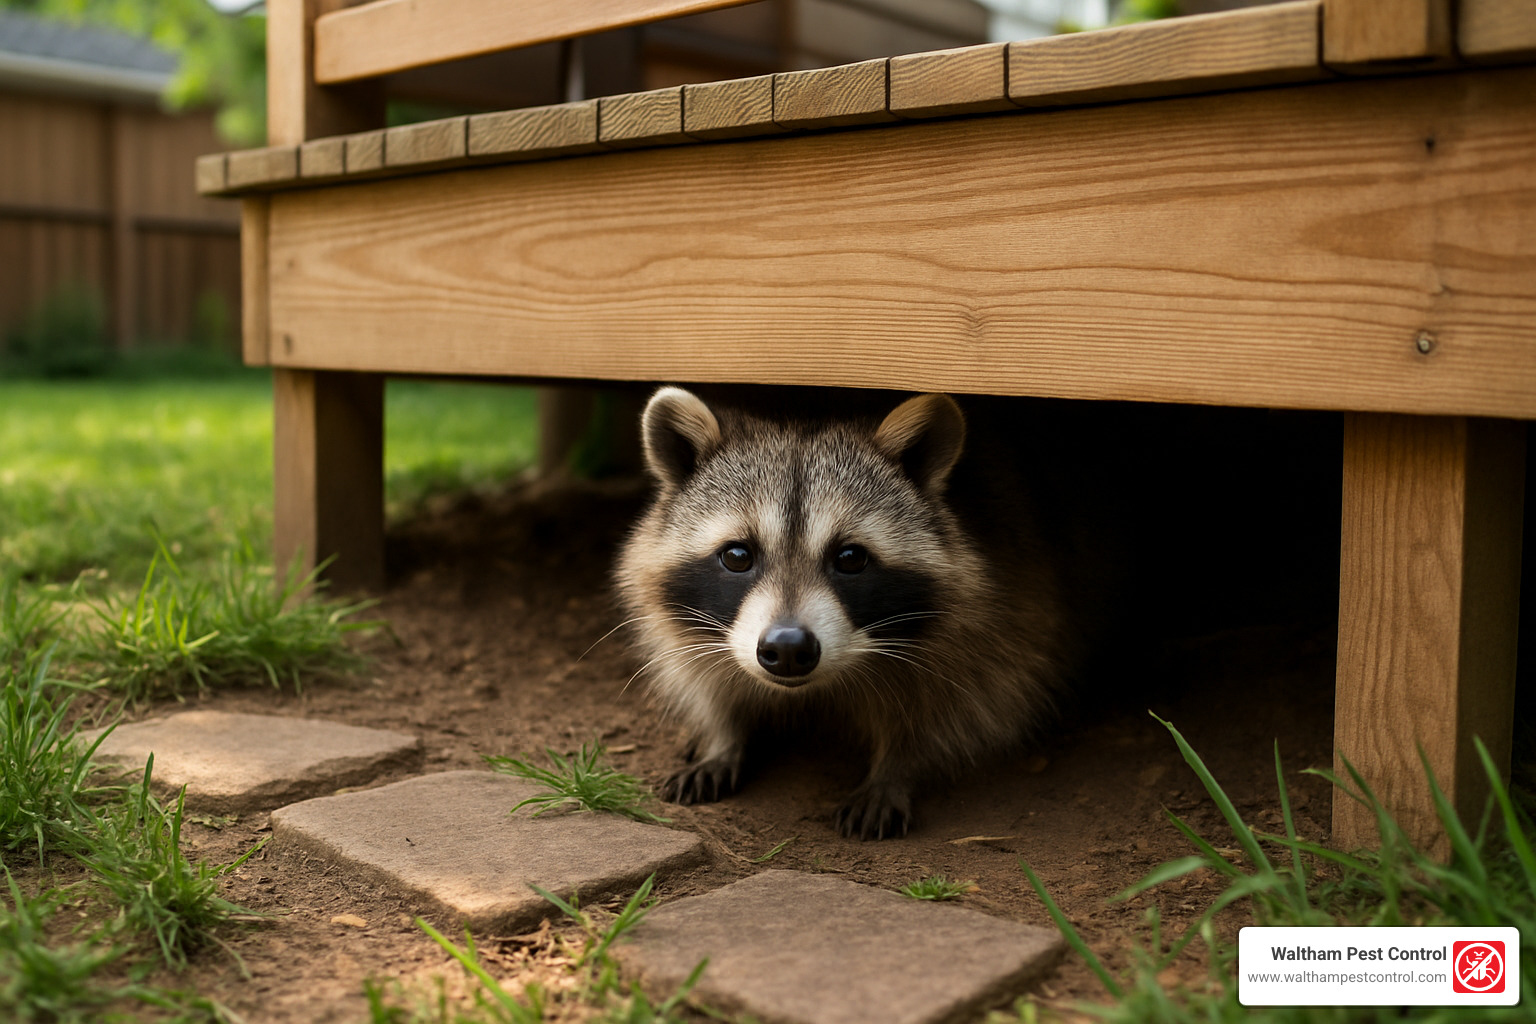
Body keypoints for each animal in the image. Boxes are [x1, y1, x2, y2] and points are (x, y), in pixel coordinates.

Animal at [615, 387, 1078, 840]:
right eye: (737, 555)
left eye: (851, 558)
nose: (787, 648)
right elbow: (707, 680)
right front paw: (722, 739)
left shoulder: (998, 612)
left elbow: (951, 706)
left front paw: (896, 769)